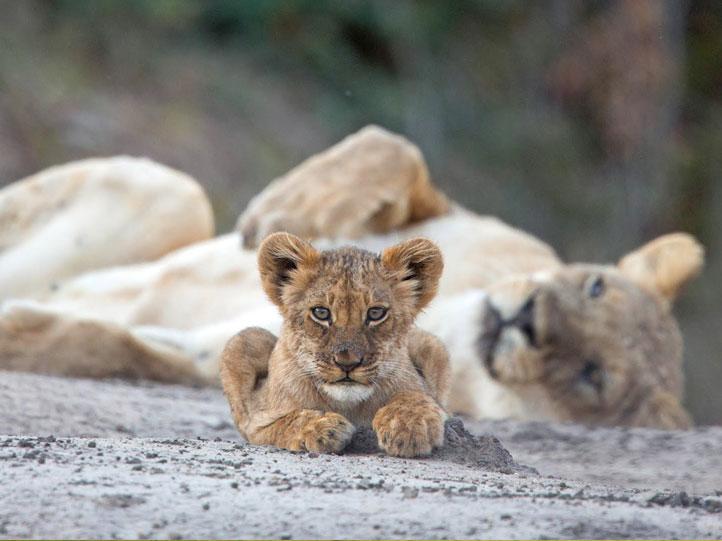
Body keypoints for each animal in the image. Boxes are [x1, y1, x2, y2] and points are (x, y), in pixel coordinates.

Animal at [220, 233, 450, 457]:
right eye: (321, 312)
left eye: (376, 313)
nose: (347, 363)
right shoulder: (257, 424)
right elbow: (286, 422)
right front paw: (321, 427)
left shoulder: (424, 390)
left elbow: (414, 396)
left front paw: (409, 426)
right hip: (244, 341)